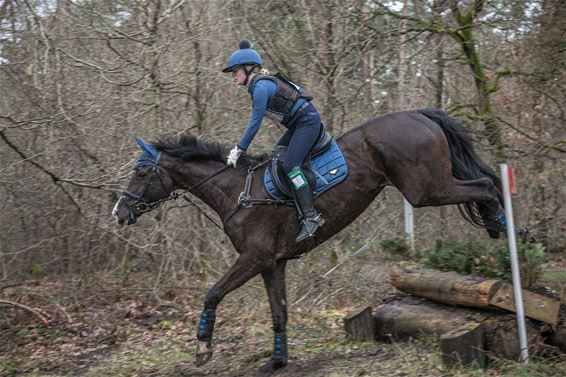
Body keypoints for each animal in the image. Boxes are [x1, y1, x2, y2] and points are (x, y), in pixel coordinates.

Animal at [112, 107, 506, 372]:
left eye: (142, 173)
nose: (119, 212)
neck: (236, 192)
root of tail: (418, 114)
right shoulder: (273, 263)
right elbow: (279, 312)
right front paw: (277, 360)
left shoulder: (253, 258)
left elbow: (213, 293)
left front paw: (202, 348)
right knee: (484, 185)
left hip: (426, 189)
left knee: (486, 185)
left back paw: (502, 226)